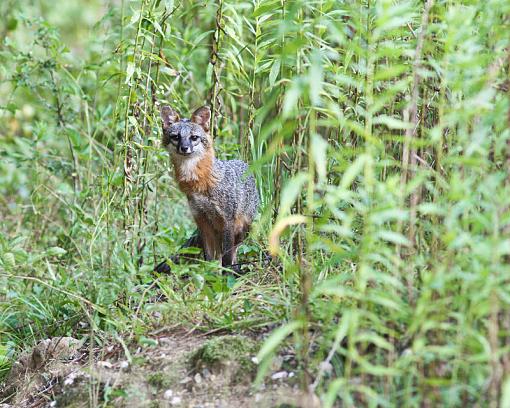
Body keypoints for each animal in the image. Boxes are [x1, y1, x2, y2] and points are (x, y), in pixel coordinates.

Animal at [160, 105, 258, 268]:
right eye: (176, 137)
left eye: (194, 138)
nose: (184, 148)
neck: (201, 182)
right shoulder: (202, 221)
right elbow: (209, 257)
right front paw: (209, 272)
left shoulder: (227, 221)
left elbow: (227, 258)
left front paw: (227, 272)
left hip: (243, 230)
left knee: (235, 251)